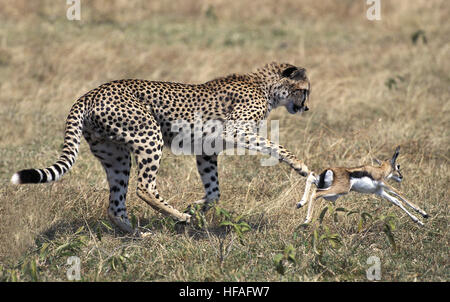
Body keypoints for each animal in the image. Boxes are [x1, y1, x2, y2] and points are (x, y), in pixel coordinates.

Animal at [11, 62, 312, 235]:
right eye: (305, 90)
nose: (306, 108)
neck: (265, 87)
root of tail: (90, 93)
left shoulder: (206, 150)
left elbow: (214, 191)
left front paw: (197, 206)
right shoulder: (235, 132)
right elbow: (277, 147)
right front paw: (302, 167)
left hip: (116, 156)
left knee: (115, 204)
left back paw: (139, 234)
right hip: (149, 136)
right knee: (144, 187)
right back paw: (179, 217)